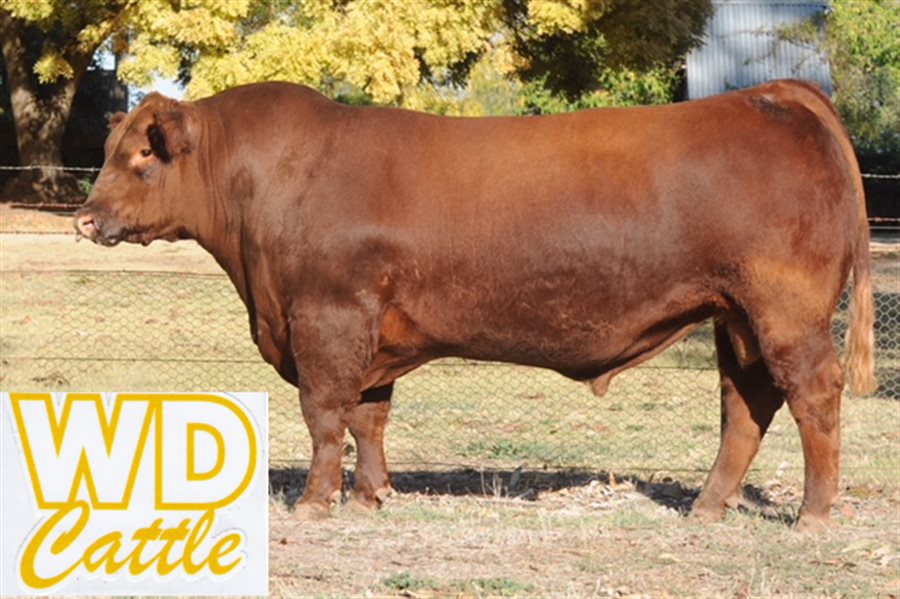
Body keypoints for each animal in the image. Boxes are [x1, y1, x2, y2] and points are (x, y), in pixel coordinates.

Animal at [74, 79, 875, 531]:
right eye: (112, 151)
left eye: (141, 155)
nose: (85, 219)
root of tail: (771, 95)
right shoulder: (373, 333)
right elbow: (369, 417)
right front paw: (370, 497)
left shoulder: (327, 319)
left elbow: (326, 416)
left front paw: (314, 501)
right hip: (736, 318)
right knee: (747, 405)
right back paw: (708, 509)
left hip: (787, 314)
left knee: (813, 397)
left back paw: (813, 517)